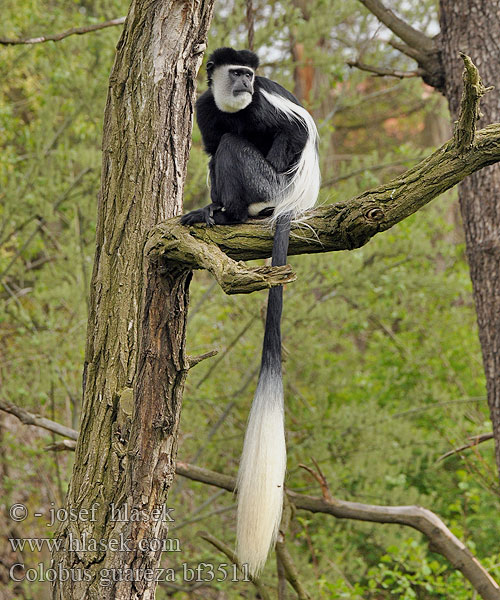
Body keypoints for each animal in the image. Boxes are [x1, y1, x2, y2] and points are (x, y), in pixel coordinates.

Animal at [181, 50, 320, 576]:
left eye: (249, 74)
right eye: (234, 72)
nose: (244, 81)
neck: (233, 103)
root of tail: (290, 205)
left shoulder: (262, 102)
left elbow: (292, 132)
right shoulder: (204, 107)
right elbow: (208, 144)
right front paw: (209, 208)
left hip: (271, 187)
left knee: (237, 147)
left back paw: (240, 213)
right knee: (219, 150)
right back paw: (216, 213)